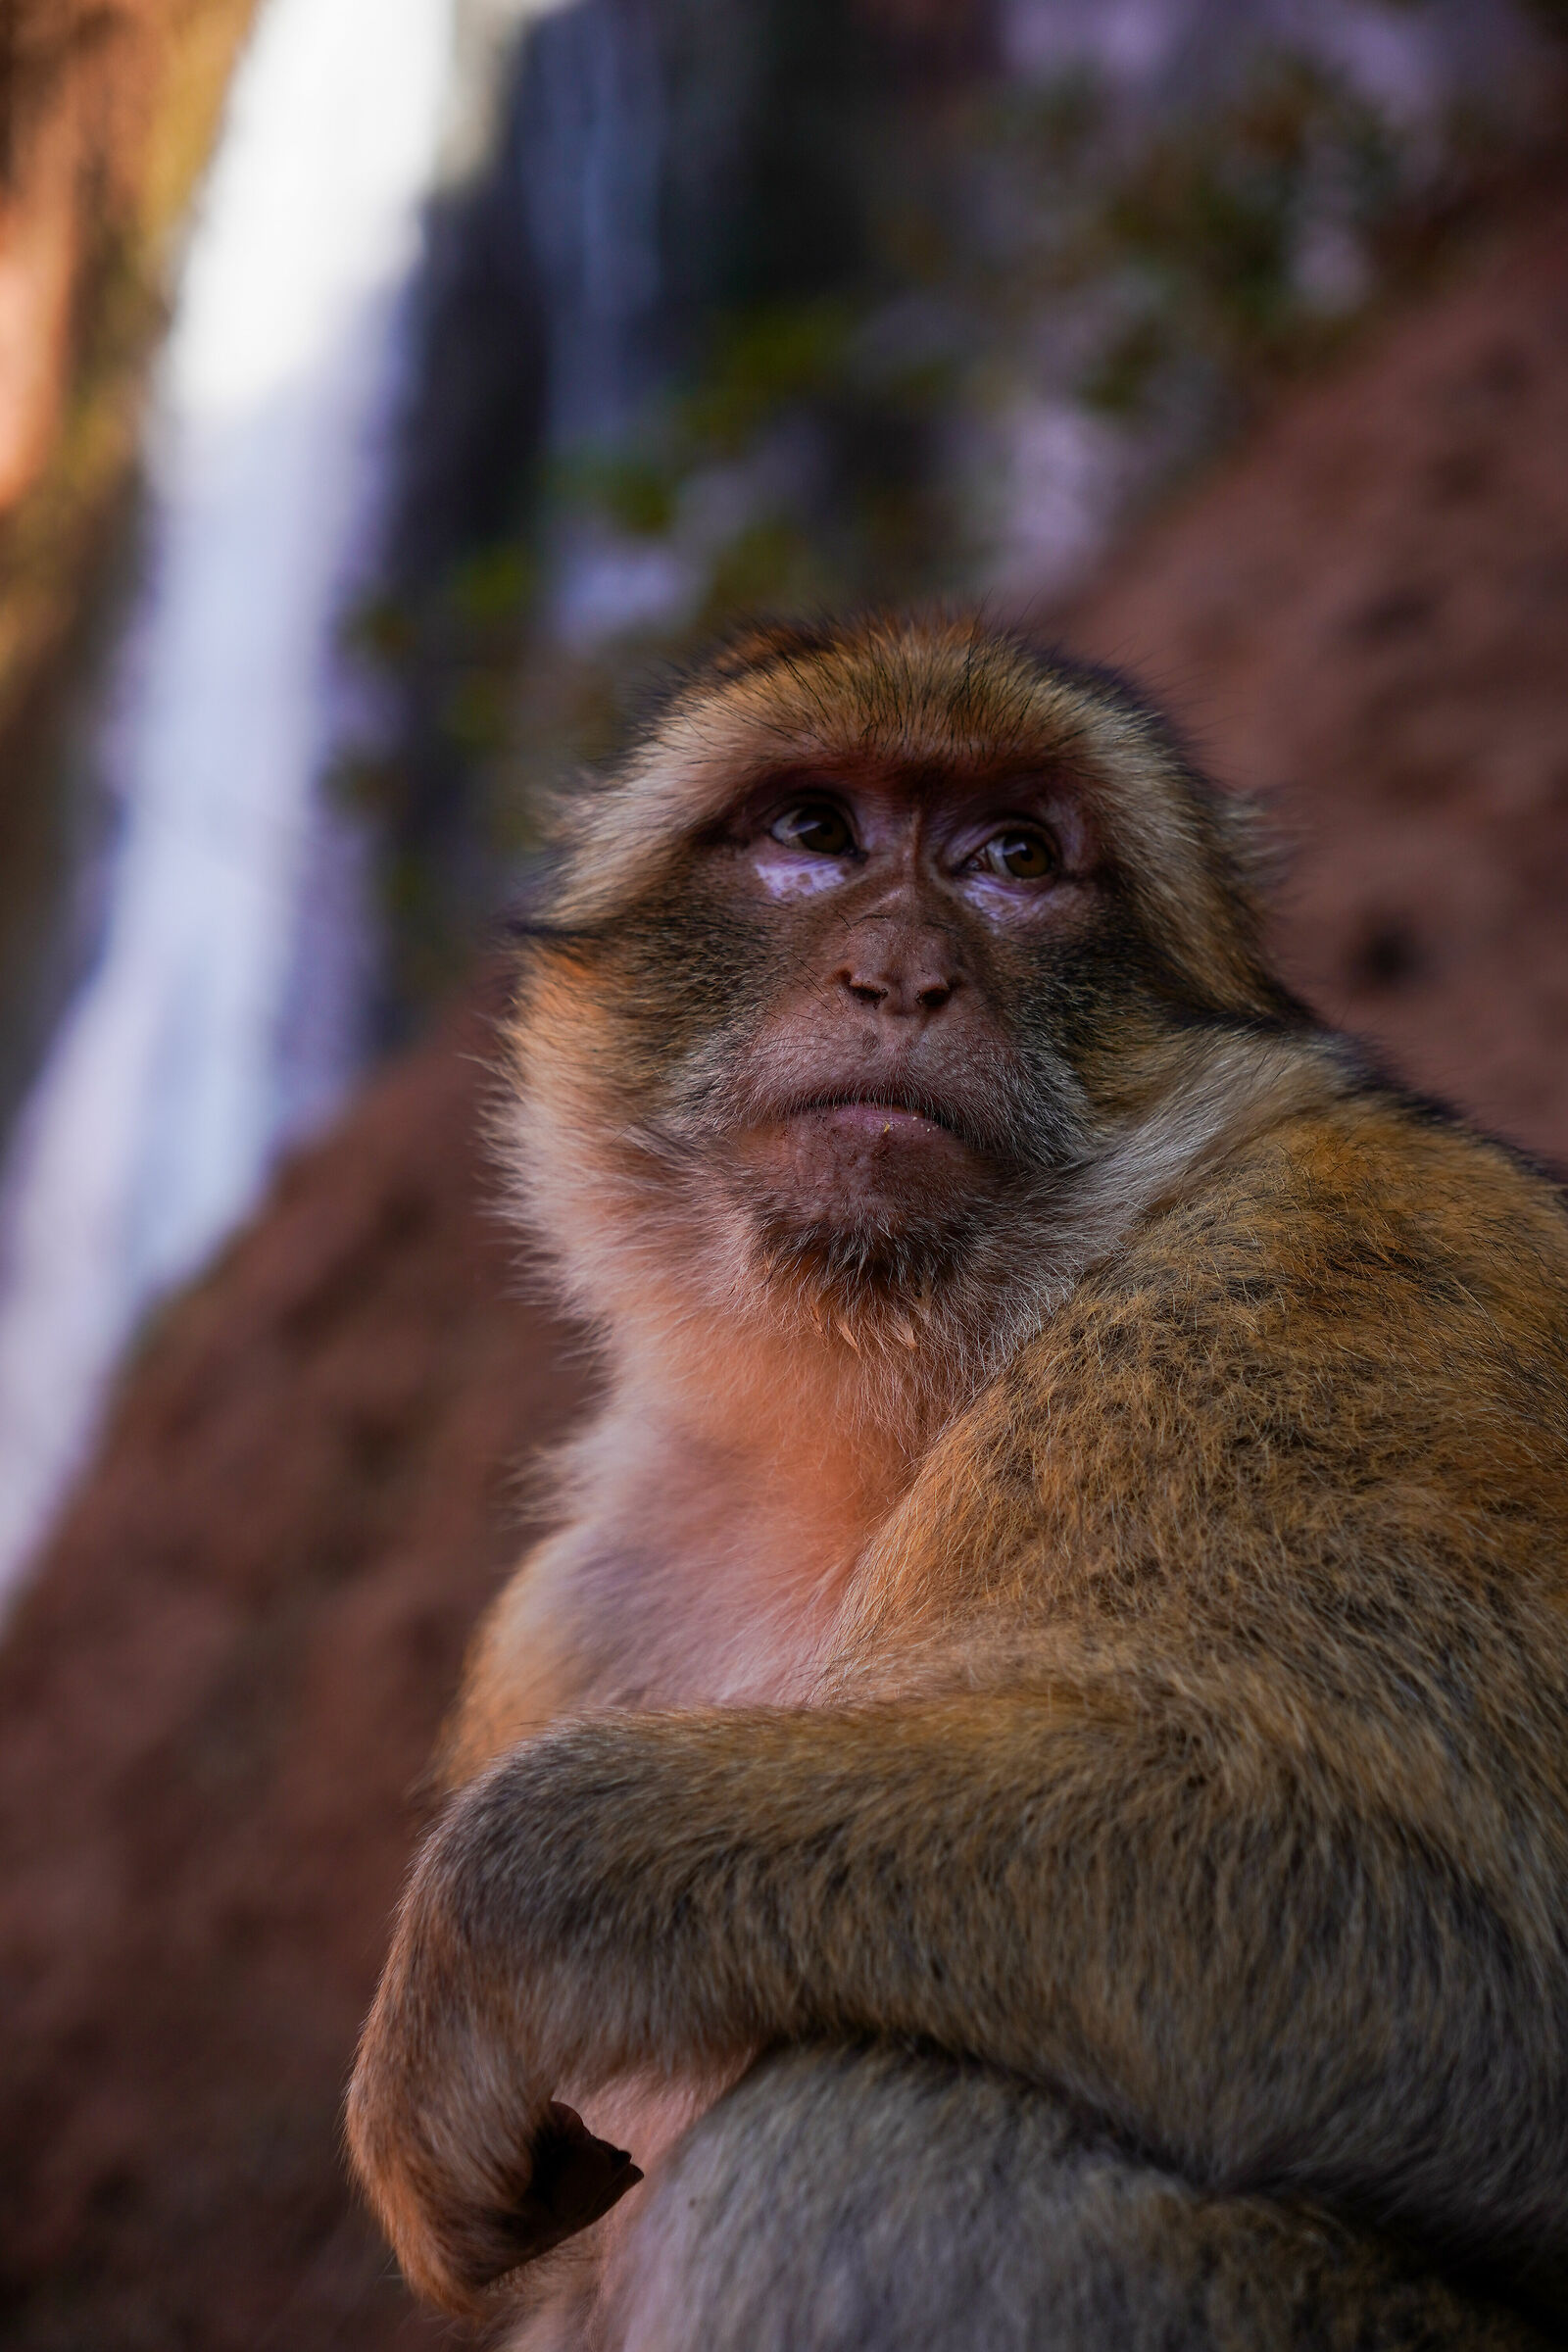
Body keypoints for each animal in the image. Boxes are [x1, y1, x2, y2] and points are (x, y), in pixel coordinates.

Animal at [347, 613, 1568, 2352]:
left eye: (1015, 859)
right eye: (810, 831)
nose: (902, 975)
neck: (876, 1425)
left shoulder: (1316, 1278)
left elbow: (1481, 1961)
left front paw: (501, 1901)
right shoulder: (573, 1614)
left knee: (855, 2130)